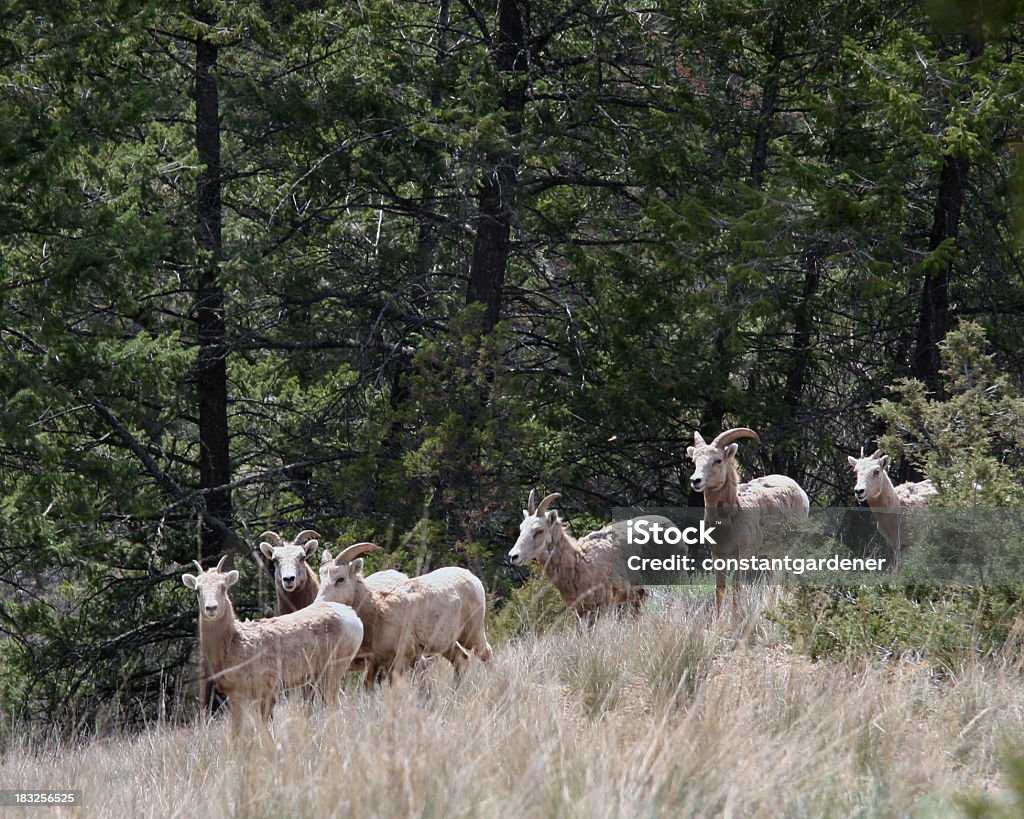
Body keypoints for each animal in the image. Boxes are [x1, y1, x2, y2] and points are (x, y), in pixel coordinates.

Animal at [181, 552, 364, 733]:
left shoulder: (268, 687)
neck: (234, 644)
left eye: (223, 587)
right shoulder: (235, 695)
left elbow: (266, 729)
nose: (211, 608)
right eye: (197, 589)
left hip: (334, 668)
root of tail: (355, 619)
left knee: (335, 707)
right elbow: (237, 733)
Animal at [315, 548, 491, 687]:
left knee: (485, 653)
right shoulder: (377, 662)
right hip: (447, 643)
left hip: (472, 634)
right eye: (321, 577)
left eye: (340, 579)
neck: (379, 612)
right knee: (461, 659)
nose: (319, 603)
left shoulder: (402, 659)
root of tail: (473, 579)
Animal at [503, 489, 655, 622]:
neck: (581, 561)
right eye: (521, 528)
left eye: (539, 530)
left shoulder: (600, 606)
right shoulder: (580, 610)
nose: (513, 556)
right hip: (637, 596)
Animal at [684, 427, 811, 606]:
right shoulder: (718, 556)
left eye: (718, 460)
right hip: (769, 554)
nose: (696, 481)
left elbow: (737, 588)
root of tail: (799, 490)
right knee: (773, 580)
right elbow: (720, 591)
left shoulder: (742, 555)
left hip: (791, 546)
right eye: (694, 461)